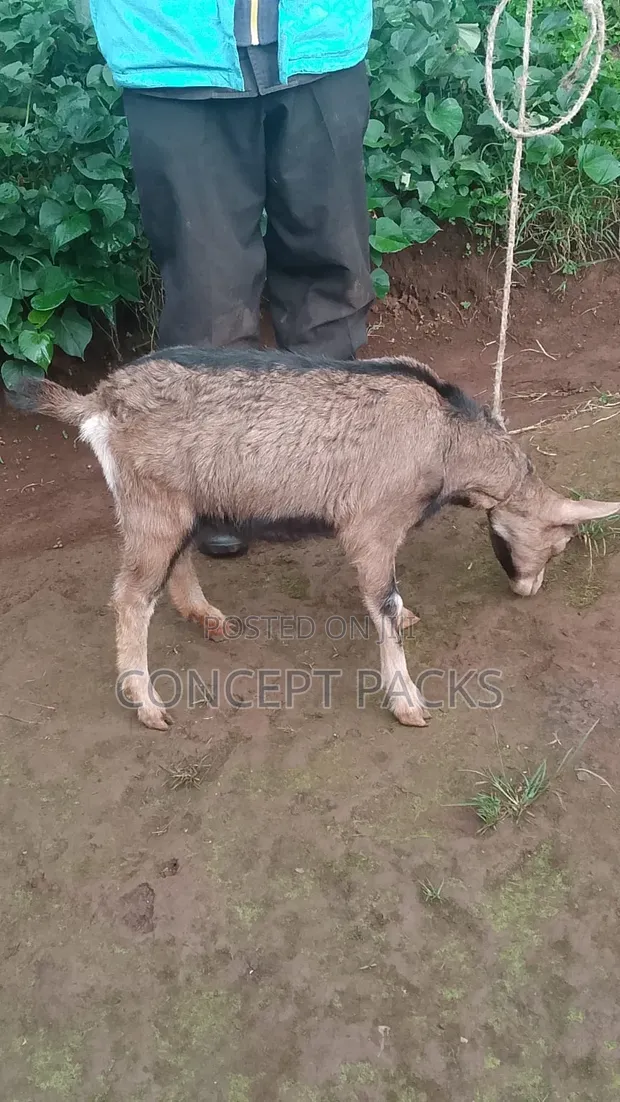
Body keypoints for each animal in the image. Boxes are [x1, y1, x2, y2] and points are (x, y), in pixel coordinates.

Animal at [10, 347, 619, 730]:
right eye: (559, 544)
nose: (528, 590)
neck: (446, 437)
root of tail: (98, 402)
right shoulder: (372, 524)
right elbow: (383, 602)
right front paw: (406, 701)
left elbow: (391, 601)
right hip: (149, 504)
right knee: (132, 596)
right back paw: (147, 703)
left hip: (180, 502)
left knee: (172, 563)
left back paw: (203, 614)